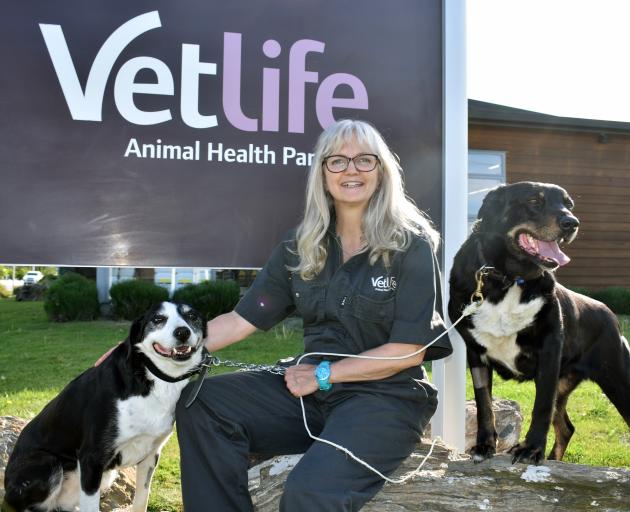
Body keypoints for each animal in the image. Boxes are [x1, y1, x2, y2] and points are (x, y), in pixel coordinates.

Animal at [3, 302, 209, 510]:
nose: (182, 332)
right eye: (158, 319)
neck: (150, 377)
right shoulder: (91, 458)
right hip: (48, 463)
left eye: (192, 316)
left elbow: (141, 500)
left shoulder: (150, 456)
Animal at [450, 183, 630, 464]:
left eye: (568, 204)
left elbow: (541, 407)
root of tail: (611, 316)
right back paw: (554, 459)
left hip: (618, 377)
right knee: (566, 427)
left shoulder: (549, 353)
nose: (572, 223)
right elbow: (484, 404)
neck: (510, 279)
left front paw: (532, 449)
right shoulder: (476, 354)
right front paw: (484, 445)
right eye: (534, 201)